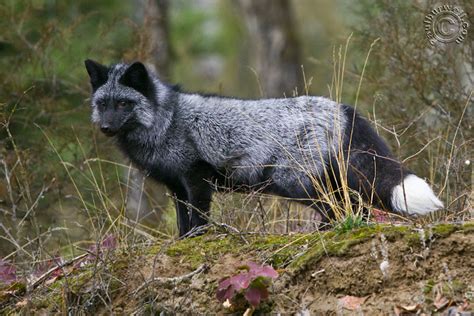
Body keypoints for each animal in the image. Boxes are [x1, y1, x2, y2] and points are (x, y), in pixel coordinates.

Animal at [83, 60, 442, 236]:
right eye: (104, 104)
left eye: (123, 104)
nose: (105, 128)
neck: (166, 121)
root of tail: (343, 109)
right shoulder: (177, 188)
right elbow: (183, 222)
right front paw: (182, 242)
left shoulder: (196, 178)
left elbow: (198, 218)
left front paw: (197, 238)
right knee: (354, 207)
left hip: (296, 183)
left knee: (340, 208)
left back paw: (327, 231)